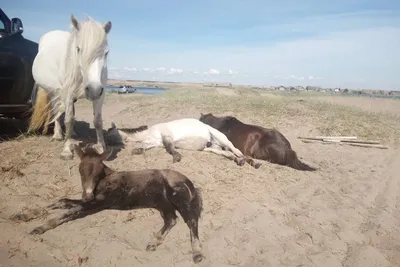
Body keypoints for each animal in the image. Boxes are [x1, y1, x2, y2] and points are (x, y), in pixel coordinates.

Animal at [16, 144, 203, 264]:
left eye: (98, 171)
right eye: (80, 170)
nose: (87, 194)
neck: (105, 180)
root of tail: (189, 181)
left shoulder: (99, 203)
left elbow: (71, 211)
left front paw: (41, 227)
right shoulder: (91, 200)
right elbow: (62, 201)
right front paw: (24, 215)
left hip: (176, 196)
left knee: (191, 220)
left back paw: (197, 253)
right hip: (162, 202)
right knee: (171, 219)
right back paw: (153, 242)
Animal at [28, 14, 112, 160]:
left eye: (106, 53)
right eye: (78, 49)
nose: (93, 90)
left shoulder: (100, 95)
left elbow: (97, 121)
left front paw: (101, 147)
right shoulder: (67, 93)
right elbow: (68, 120)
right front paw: (66, 150)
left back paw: (72, 134)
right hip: (54, 93)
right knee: (56, 112)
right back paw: (58, 135)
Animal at [104, 118, 260, 169]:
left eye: (108, 133)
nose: (104, 149)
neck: (151, 133)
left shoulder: (166, 136)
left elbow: (170, 148)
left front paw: (177, 157)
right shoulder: (155, 143)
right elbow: (144, 148)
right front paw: (136, 151)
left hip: (221, 138)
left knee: (236, 150)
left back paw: (251, 162)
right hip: (210, 148)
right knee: (227, 153)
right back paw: (238, 161)